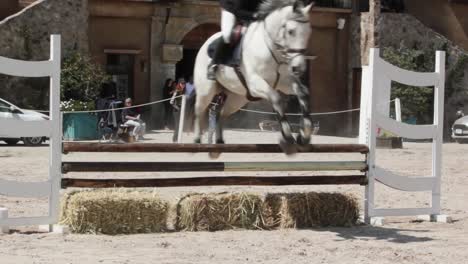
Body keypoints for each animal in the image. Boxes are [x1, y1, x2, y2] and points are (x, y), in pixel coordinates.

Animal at [194, 0, 314, 154]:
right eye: (291, 31)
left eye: (309, 32)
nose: (299, 68)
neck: (272, 49)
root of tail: (205, 44)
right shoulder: (255, 83)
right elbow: (276, 99)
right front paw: (288, 139)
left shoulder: (284, 82)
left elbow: (302, 93)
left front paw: (304, 136)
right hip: (206, 92)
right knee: (199, 111)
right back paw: (197, 142)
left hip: (237, 98)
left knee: (222, 113)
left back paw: (220, 143)